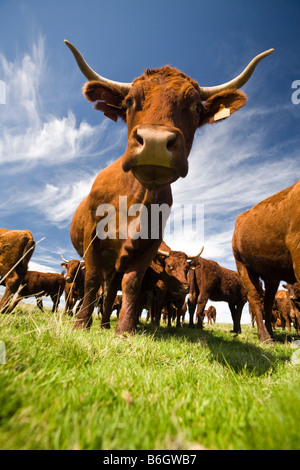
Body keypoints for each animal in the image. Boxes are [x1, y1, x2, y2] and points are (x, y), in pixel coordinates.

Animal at [64, 40, 274, 334]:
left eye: (197, 107)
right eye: (129, 101)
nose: (154, 142)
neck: (134, 201)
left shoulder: (149, 246)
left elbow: (131, 283)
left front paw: (124, 331)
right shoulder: (92, 237)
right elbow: (92, 280)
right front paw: (80, 326)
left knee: (112, 287)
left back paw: (105, 323)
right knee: (103, 286)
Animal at [232, 180, 300, 342]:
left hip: (272, 276)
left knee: (268, 303)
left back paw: (270, 333)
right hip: (243, 267)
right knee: (255, 299)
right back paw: (265, 337)